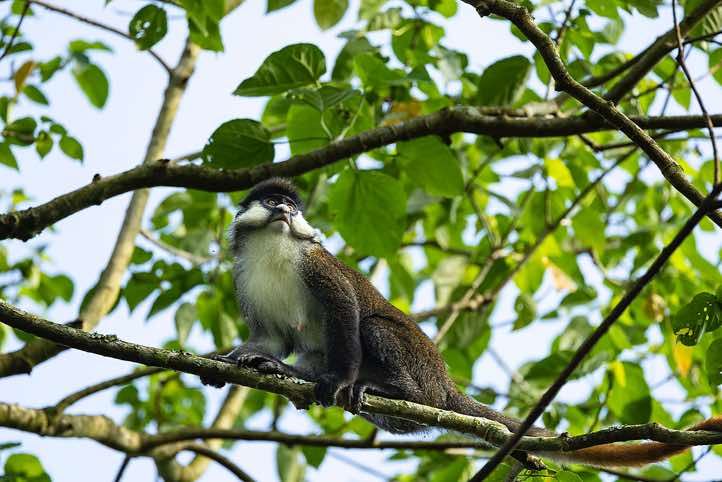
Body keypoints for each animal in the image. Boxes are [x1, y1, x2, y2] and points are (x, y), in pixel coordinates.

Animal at [202, 177, 722, 468]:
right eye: (273, 203)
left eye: (293, 209)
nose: (286, 212)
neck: (274, 250)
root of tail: (444, 387)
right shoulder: (245, 279)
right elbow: (271, 338)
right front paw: (242, 358)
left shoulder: (317, 268)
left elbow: (346, 310)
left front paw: (339, 380)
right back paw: (294, 375)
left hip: (418, 365)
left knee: (374, 328)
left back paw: (391, 390)